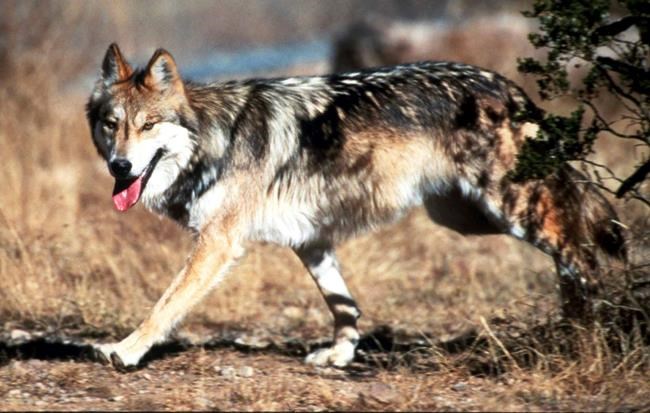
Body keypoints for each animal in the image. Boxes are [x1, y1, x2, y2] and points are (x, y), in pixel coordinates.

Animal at [86, 43, 625, 371]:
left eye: (148, 125)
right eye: (113, 124)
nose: (119, 166)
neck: (214, 138)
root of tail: (505, 84)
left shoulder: (218, 244)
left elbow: (164, 304)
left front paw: (124, 350)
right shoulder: (310, 241)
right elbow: (343, 304)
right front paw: (340, 355)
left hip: (508, 208)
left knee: (579, 248)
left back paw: (592, 332)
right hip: (465, 218)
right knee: (570, 239)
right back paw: (578, 326)